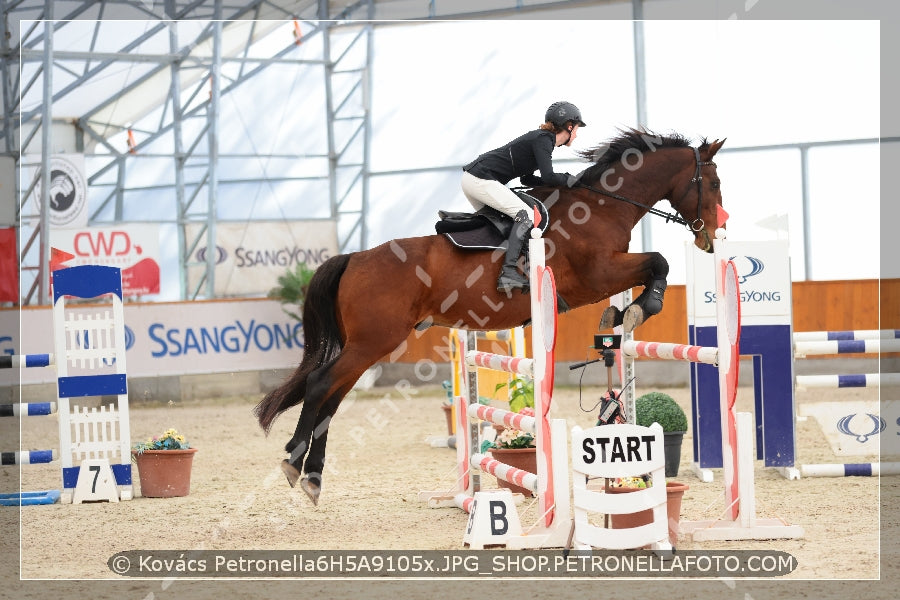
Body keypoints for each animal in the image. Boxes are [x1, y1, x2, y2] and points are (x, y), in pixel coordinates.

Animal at [253, 129, 724, 504]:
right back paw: (294, 462)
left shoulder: (605, 275)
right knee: (320, 385)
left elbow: (649, 270)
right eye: (714, 181)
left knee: (333, 397)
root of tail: (353, 258)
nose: (713, 234)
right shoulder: (599, 273)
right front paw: (641, 308)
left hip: (368, 345)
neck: (603, 205)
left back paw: (313, 476)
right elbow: (658, 261)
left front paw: (622, 313)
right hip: (373, 340)